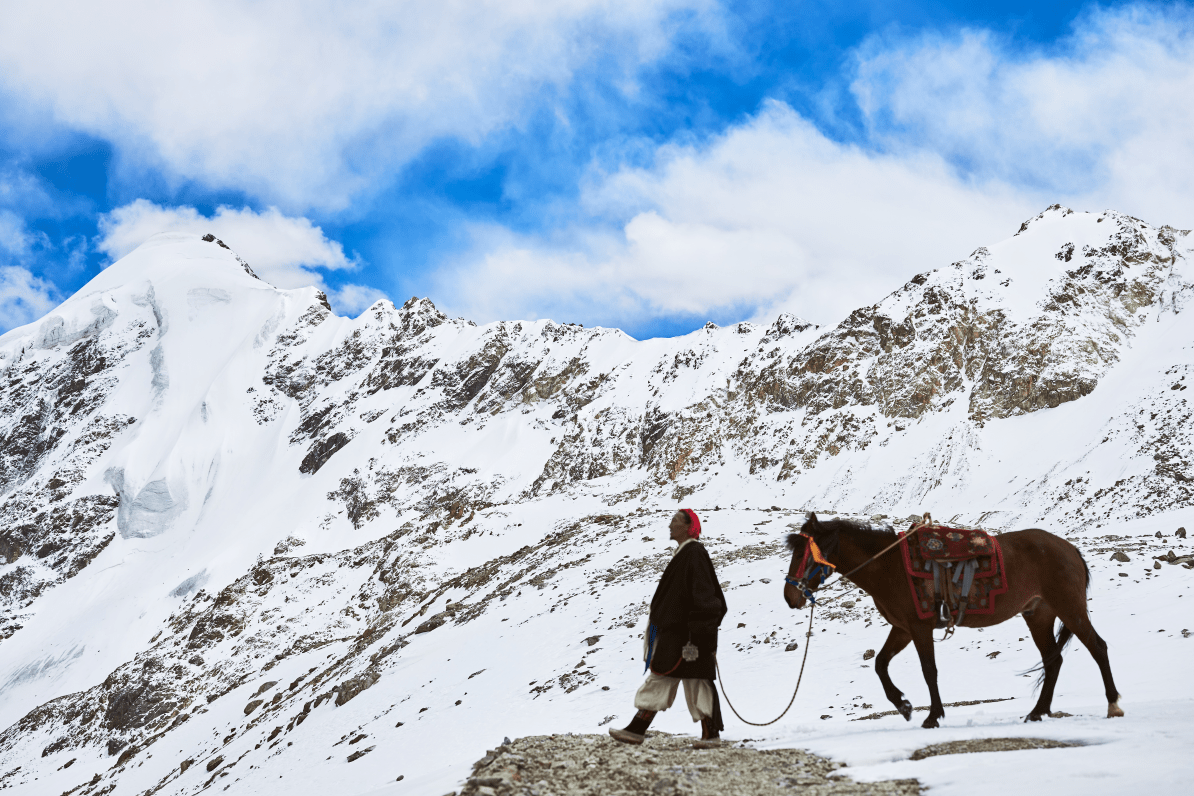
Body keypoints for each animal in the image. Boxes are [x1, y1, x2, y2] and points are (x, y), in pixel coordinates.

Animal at [783, 517, 1117, 730]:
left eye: (803, 554)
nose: (790, 596)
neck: (889, 567)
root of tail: (1070, 550)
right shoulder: (902, 629)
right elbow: (880, 664)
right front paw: (903, 706)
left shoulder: (919, 628)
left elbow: (929, 671)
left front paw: (932, 717)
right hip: (1039, 615)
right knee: (1053, 660)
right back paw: (1036, 713)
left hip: (1069, 608)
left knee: (1098, 647)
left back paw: (1113, 706)